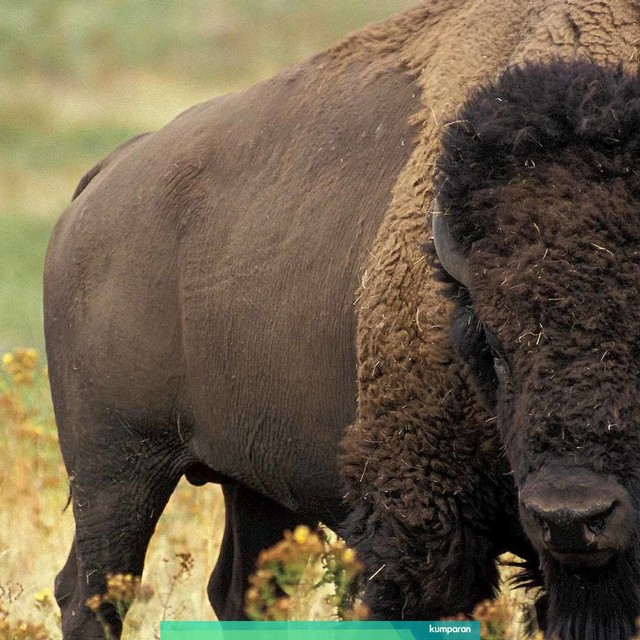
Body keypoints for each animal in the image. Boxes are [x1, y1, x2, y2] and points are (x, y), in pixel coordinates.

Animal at [44, 1, 640, 639]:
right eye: (494, 350)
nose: (571, 514)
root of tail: (105, 177)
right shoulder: (422, 521)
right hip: (114, 468)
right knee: (91, 592)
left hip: (253, 482)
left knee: (238, 589)